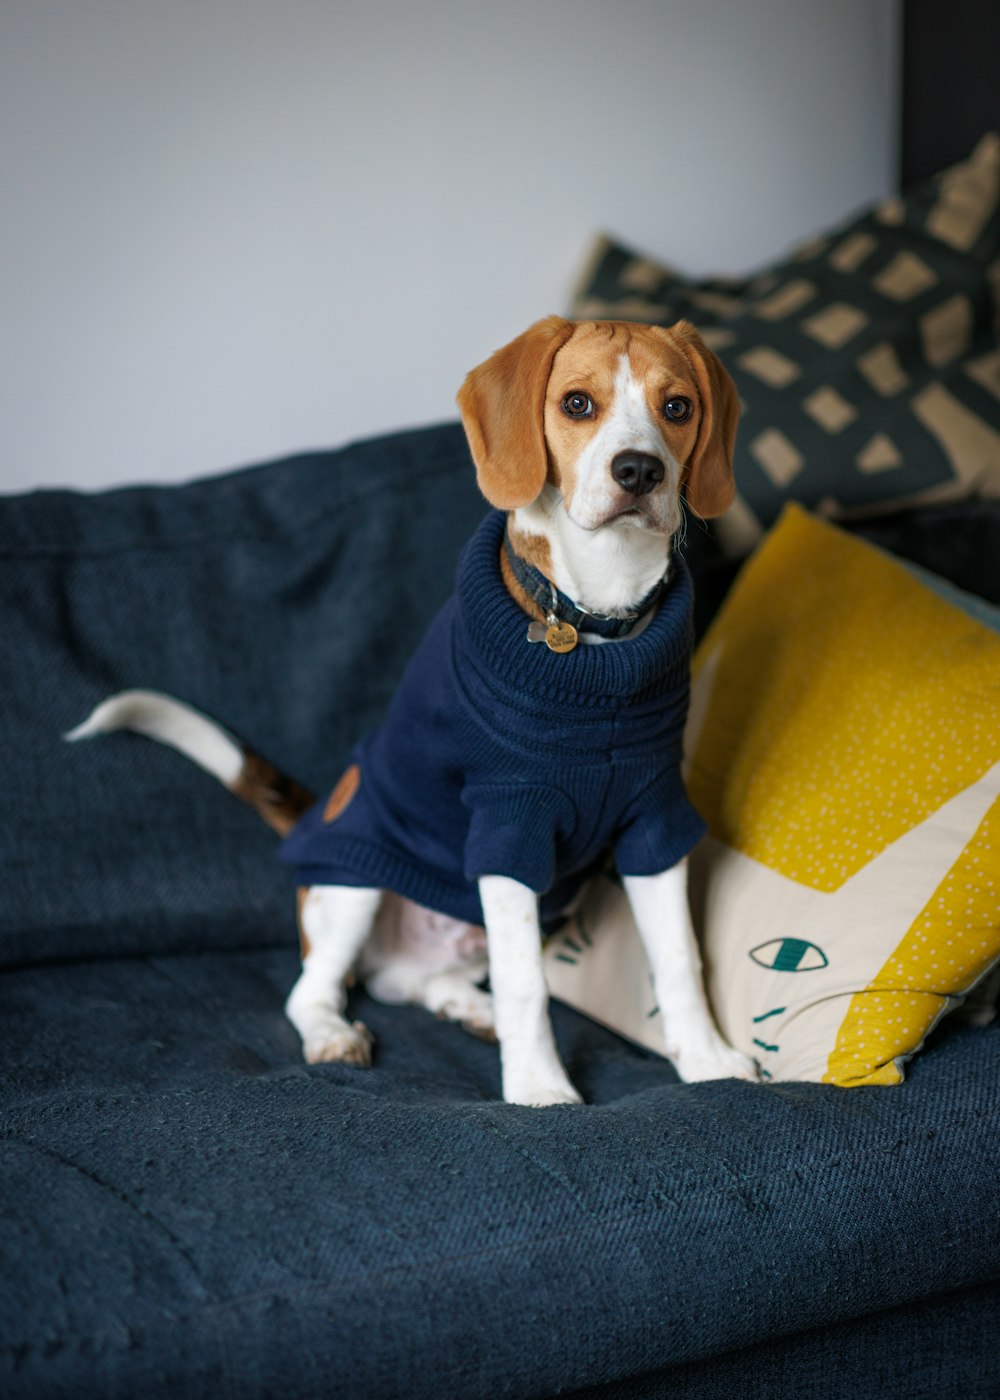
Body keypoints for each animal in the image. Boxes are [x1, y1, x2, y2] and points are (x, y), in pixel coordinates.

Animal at [70, 317, 756, 1103]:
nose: (640, 471)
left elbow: (679, 960)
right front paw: (540, 1089)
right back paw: (336, 1034)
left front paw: (705, 1060)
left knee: (420, 982)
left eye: (677, 409)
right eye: (578, 404)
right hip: (356, 880)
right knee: (315, 989)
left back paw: (467, 1007)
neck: (599, 628)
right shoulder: (508, 828)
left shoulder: (653, 820)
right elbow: (528, 987)